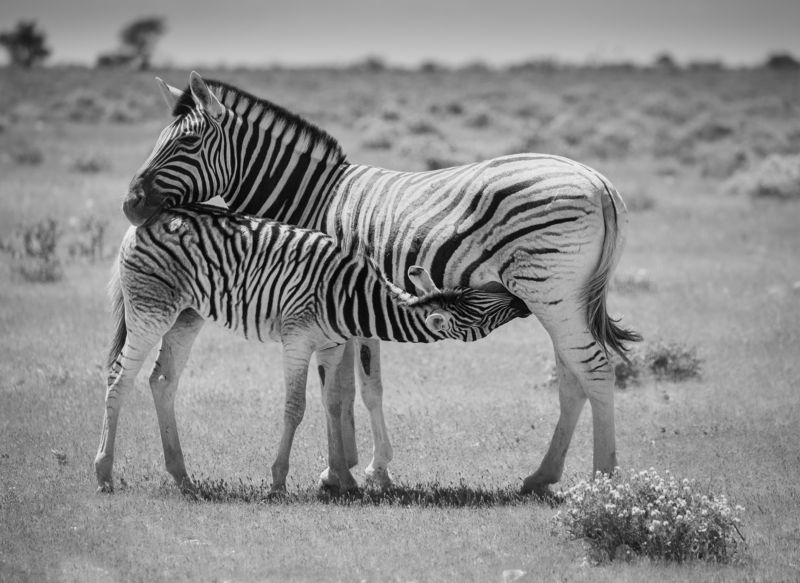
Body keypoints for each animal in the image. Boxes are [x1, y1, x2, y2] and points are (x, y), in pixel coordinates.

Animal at [94, 204, 529, 495]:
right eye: (480, 312)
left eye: (476, 293)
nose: (522, 302)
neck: (352, 297)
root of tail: (148, 220)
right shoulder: (298, 339)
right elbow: (296, 407)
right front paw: (278, 480)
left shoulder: (332, 345)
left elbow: (334, 403)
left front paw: (343, 479)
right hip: (150, 311)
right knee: (119, 379)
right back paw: (104, 474)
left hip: (187, 316)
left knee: (162, 381)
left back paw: (182, 476)